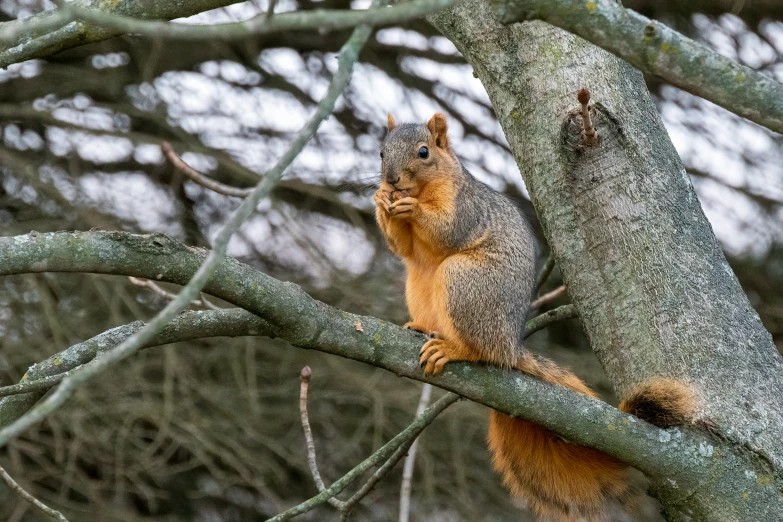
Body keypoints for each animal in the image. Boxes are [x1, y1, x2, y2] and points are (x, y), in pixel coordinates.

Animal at [376, 112, 700, 520]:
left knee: (484, 351)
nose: (391, 180)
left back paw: (456, 348)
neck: (421, 189)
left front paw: (412, 210)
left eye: (423, 152)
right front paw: (379, 200)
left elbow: (446, 231)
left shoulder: (465, 208)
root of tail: (510, 344)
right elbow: (401, 246)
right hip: (418, 284)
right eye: (381, 151)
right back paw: (423, 327)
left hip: (465, 282)